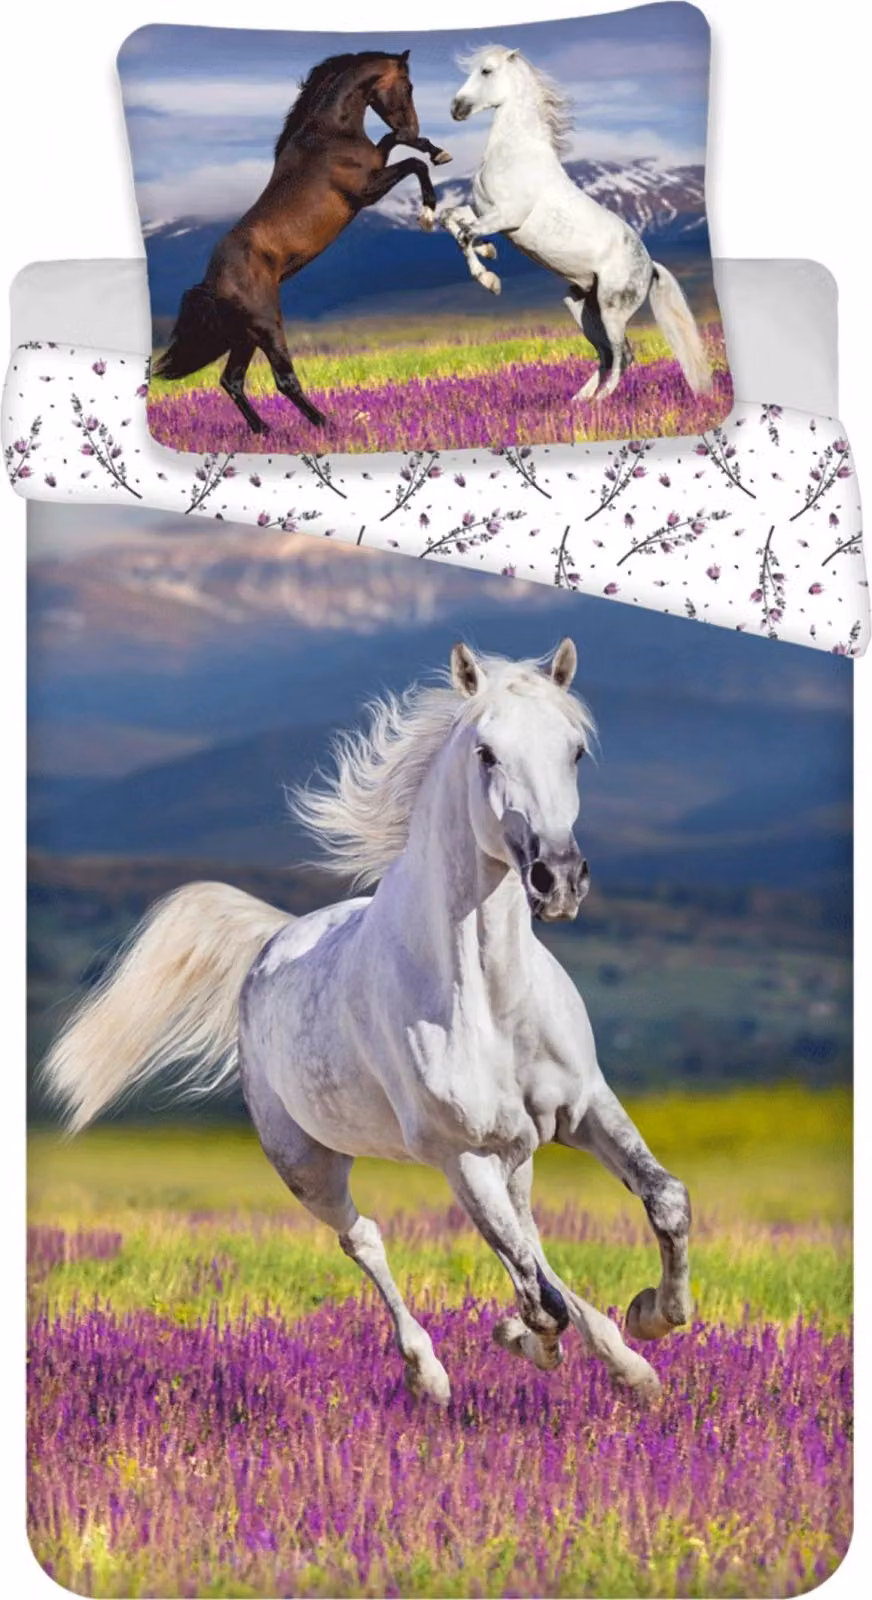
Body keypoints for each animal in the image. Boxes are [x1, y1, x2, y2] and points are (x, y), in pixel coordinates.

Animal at [43, 642, 692, 1405]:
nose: (557, 879)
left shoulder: (584, 1107)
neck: (491, 1001)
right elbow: (537, 1295)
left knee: (529, 1238)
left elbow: (663, 1201)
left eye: (576, 750)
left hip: (517, 1154)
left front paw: (651, 1321)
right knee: (369, 1240)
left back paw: (614, 1358)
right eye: (486, 753)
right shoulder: (460, 1154)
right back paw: (430, 1374)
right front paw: (538, 1340)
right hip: (309, 1164)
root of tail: (273, 942)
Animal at [155, 50, 450, 435]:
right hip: (266, 326)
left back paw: (264, 431)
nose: (412, 125)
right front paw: (428, 210)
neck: (331, 133)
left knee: (232, 380)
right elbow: (414, 162)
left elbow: (393, 141)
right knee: (283, 380)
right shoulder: (366, 190)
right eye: (409, 85)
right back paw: (327, 425)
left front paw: (436, 150)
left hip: (244, 335)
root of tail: (211, 283)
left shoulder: (377, 164)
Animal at [441, 46, 713, 404]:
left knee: (623, 354)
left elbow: (465, 235)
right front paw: (489, 253)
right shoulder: (483, 211)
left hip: (612, 310)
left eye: (486, 70)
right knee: (606, 354)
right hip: (581, 306)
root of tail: (650, 266)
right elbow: (451, 219)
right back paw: (578, 401)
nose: (456, 108)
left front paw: (490, 280)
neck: (514, 153)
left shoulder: (506, 217)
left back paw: (599, 401)